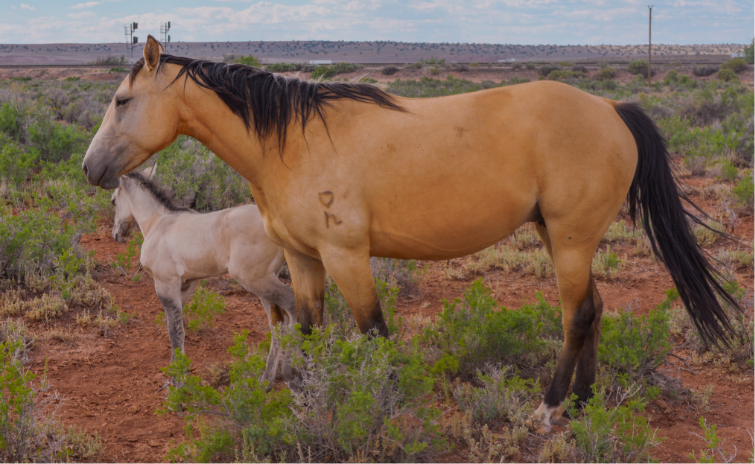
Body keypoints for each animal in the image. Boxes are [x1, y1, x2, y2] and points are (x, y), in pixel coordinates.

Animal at [110, 164, 296, 384]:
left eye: (113, 201)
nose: (117, 235)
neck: (159, 223)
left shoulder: (165, 283)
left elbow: (176, 331)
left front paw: (178, 381)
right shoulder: (187, 284)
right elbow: (174, 325)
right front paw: (175, 371)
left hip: (254, 279)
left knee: (292, 305)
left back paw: (291, 371)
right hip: (265, 281)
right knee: (277, 322)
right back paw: (266, 379)